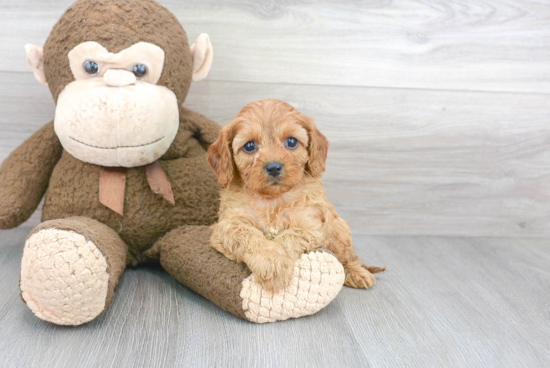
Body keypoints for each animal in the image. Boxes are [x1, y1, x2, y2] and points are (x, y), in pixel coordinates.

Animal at [207, 99, 384, 292]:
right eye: (249, 146)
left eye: (291, 141)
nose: (274, 167)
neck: (273, 199)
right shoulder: (226, 225)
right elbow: (248, 233)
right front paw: (270, 262)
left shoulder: (312, 227)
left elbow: (290, 235)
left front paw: (277, 267)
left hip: (340, 229)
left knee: (349, 256)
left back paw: (357, 272)